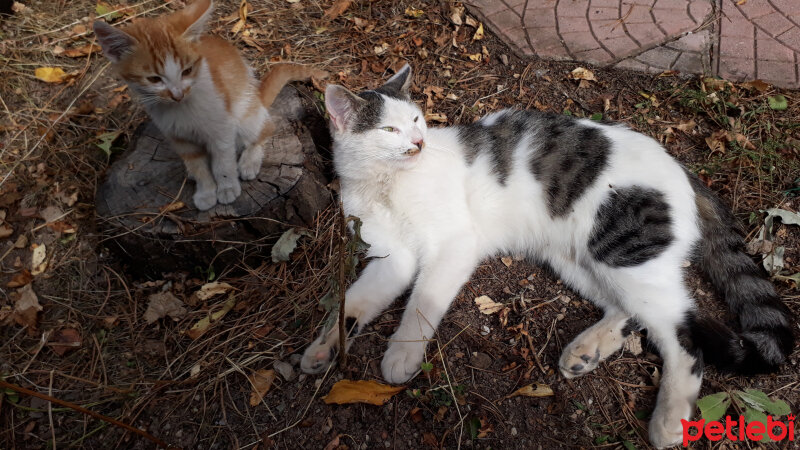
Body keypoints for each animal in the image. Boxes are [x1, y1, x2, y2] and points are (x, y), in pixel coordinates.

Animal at [94, 0, 328, 211]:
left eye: (187, 71)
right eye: (154, 79)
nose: (177, 94)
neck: (182, 109)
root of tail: (257, 95)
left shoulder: (221, 129)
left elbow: (222, 162)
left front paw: (226, 187)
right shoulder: (179, 138)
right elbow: (198, 166)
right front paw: (206, 191)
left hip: (246, 112)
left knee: (265, 129)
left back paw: (249, 161)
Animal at [300, 65, 792, 448]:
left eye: (418, 120)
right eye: (389, 129)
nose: (419, 143)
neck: (387, 185)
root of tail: (685, 171)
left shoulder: (455, 243)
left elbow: (422, 304)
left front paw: (402, 354)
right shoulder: (392, 257)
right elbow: (354, 303)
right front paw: (323, 348)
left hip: (623, 252)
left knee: (684, 334)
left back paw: (670, 419)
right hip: (579, 259)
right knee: (629, 311)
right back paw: (588, 350)